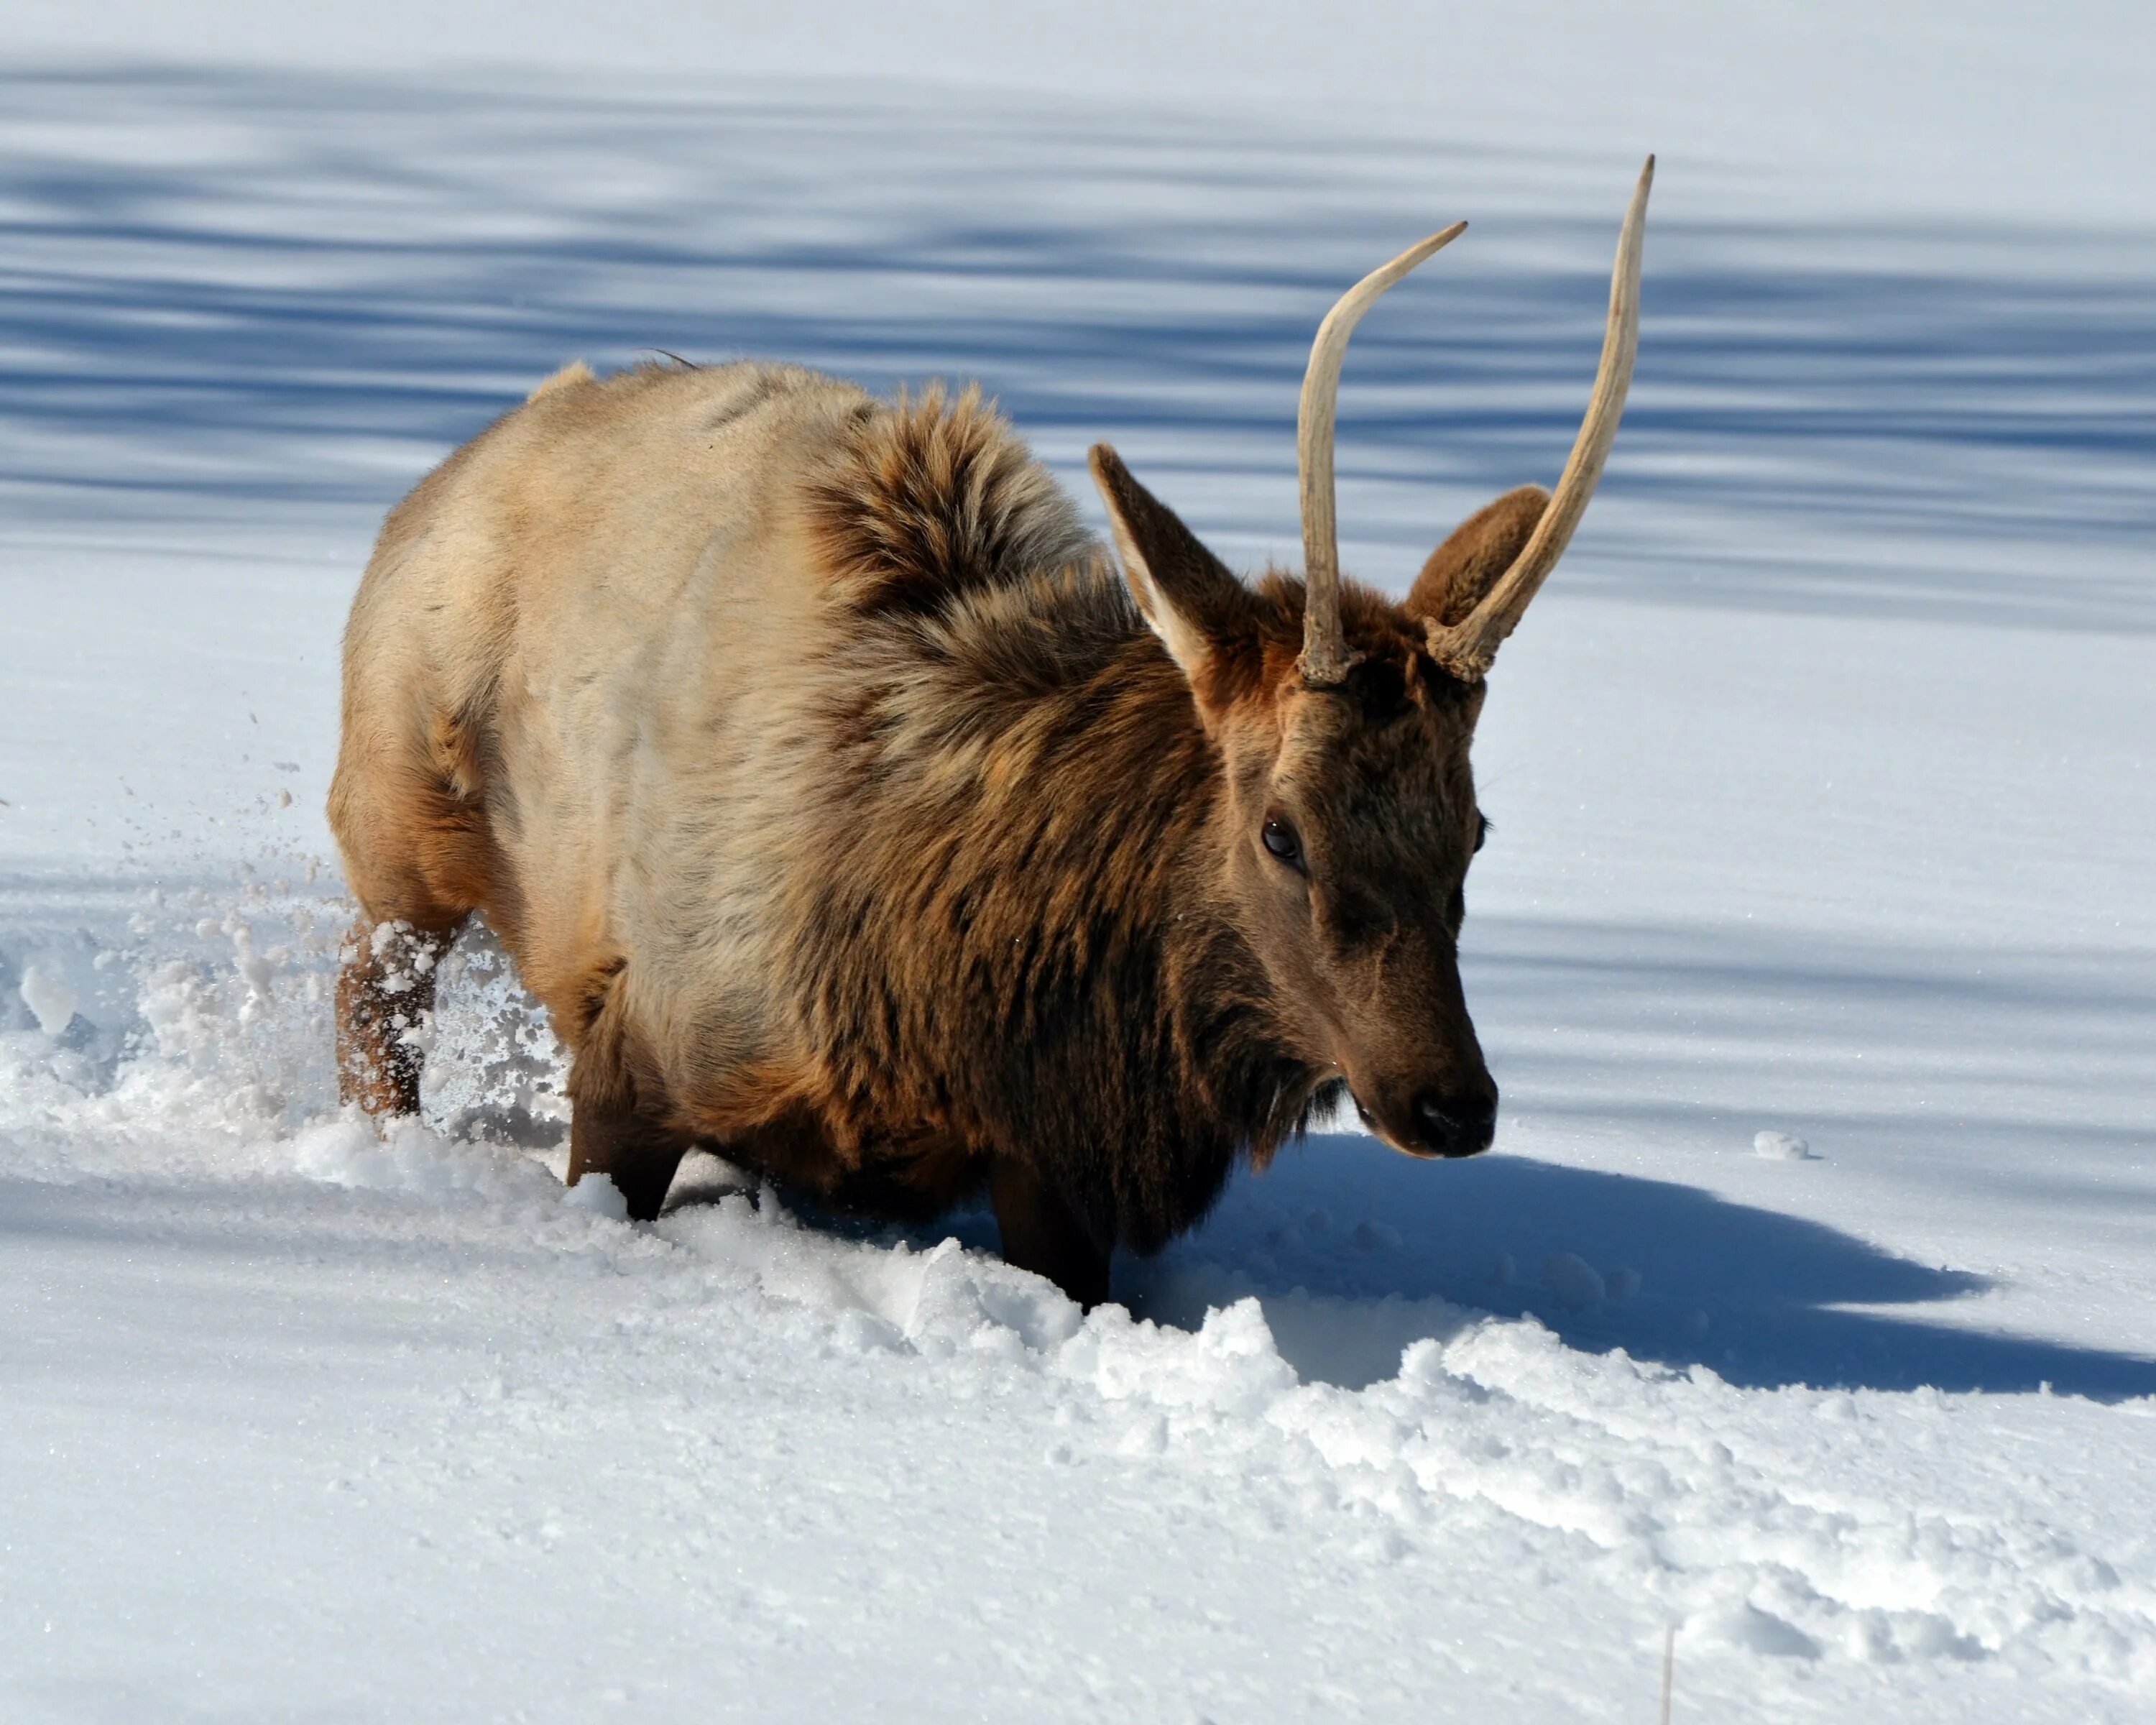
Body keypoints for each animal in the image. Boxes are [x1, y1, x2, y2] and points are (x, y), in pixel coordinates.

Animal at [332, 158, 1647, 1311]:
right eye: (1281, 831)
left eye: (1475, 830)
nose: (1452, 1103)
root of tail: (461, 462)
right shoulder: (645, 1047)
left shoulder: (1051, 1167)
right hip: (397, 820)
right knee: (371, 1001)